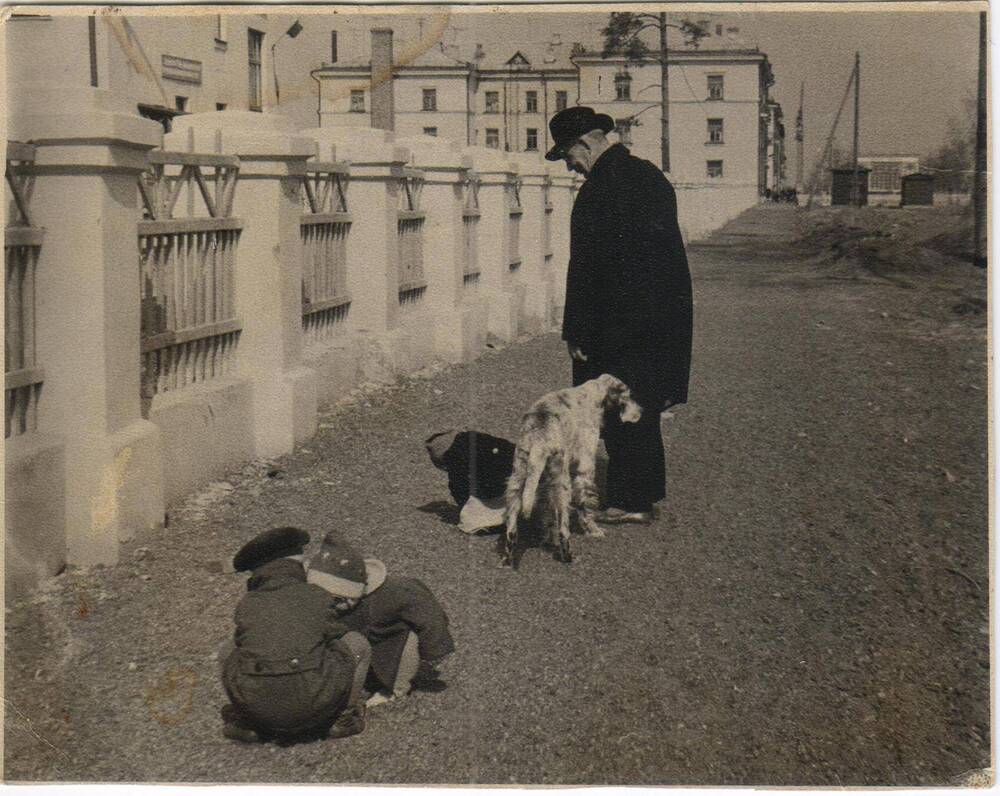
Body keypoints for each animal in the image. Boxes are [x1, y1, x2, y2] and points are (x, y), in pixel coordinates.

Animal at [500, 374, 640, 564]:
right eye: (629, 395)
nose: (641, 412)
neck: (591, 393)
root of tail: (538, 441)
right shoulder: (584, 470)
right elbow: (585, 508)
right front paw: (594, 531)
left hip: (517, 480)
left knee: (512, 530)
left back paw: (508, 559)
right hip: (562, 486)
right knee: (563, 530)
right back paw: (568, 556)